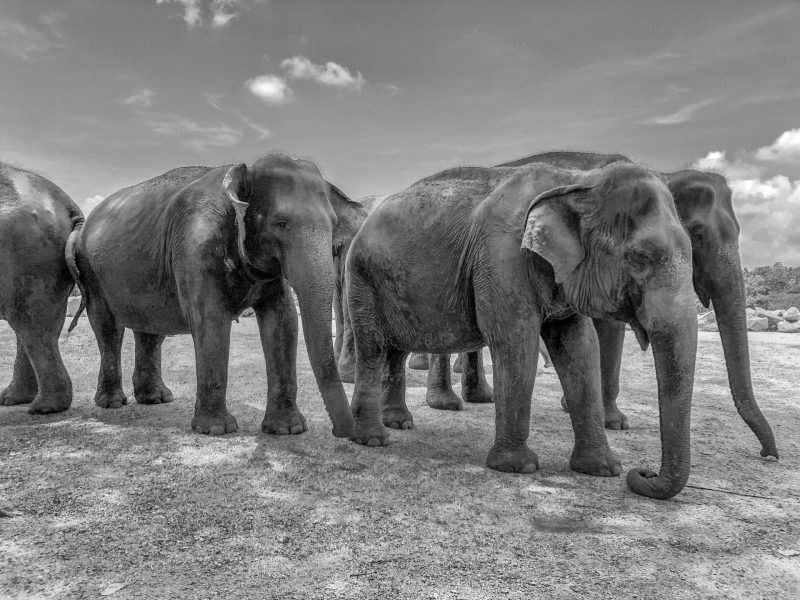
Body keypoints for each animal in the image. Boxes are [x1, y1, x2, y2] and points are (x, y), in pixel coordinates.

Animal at [0, 163, 84, 414]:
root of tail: (68, 205)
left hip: (30, 259)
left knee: (33, 329)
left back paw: (43, 408)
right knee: (30, 327)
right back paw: (13, 400)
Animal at [66, 153, 360, 437]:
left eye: (334, 224)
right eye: (281, 223)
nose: (343, 433)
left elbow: (283, 320)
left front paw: (288, 430)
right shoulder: (196, 245)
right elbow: (211, 320)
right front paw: (217, 429)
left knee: (150, 330)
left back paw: (156, 399)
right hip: (91, 271)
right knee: (108, 327)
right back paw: (113, 402)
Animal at [346, 160, 699, 499]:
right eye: (640, 257)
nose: (644, 473)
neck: (578, 180)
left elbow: (580, 349)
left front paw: (604, 469)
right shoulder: (503, 259)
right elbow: (516, 343)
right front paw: (518, 467)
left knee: (395, 349)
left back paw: (399, 423)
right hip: (362, 279)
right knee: (373, 347)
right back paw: (374, 439)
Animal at [420, 151, 778, 460]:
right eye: (699, 236)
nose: (767, 455)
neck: (661, 171)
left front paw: (603, 418)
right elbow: (608, 329)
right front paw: (613, 422)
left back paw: (480, 398)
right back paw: (447, 404)